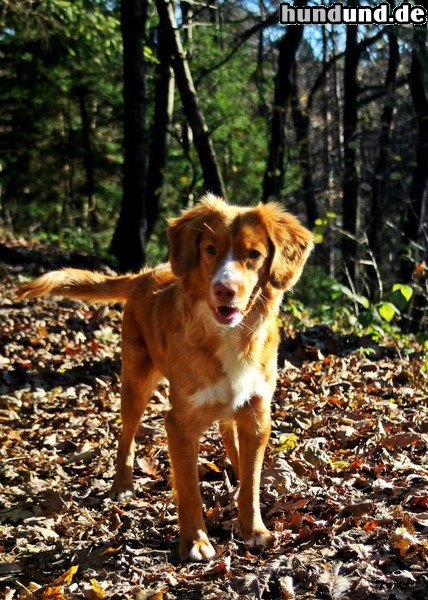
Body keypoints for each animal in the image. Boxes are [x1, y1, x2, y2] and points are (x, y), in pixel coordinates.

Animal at [18, 195, 314, 560]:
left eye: (254, 254)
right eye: (210, 249)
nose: (224, 290)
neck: (228, 337)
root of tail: (143, 275)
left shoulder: (257, 413)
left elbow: (251, 482)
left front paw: (254, 530)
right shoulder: (179, 422)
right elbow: (188, 490)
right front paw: (196, 542)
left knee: (228, 435)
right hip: (136, 383)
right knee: (126, 436)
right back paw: (122, 485)